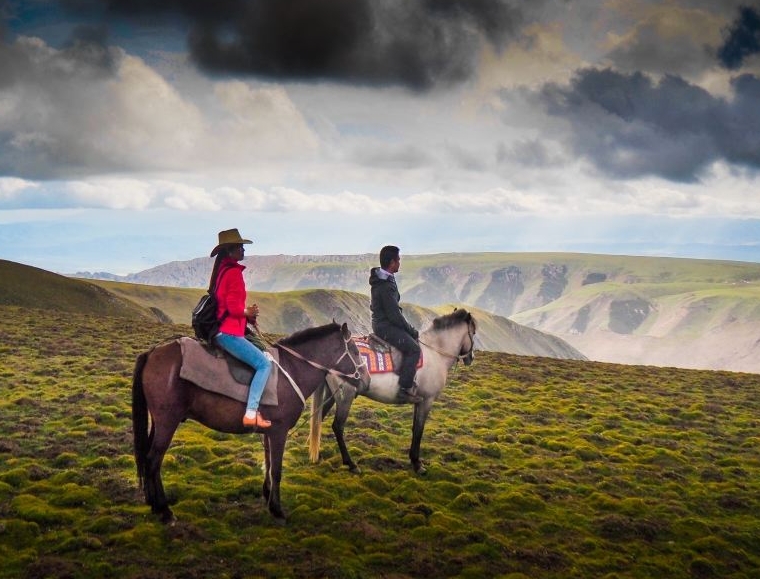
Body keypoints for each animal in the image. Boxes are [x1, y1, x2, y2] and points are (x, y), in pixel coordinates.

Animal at [132, 322, 370, 524]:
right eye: (356, 352)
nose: (366, 381)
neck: (293, 369)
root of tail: (152, 353)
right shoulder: (279, 431)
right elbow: (277, 469)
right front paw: (277, 509)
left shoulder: (269, 430)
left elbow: (268, 464)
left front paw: (267, 496)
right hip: (167, 422)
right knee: (153, 460)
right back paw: (164, 510)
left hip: (158, 422)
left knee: (149, 458)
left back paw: (154, 504)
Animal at [308, 310, 476, 474]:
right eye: (473, 333)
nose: (471, 358)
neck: (435, 352)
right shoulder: (427, 400)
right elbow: (419, 430)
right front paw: (417, 464)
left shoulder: (419, 401)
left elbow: (415, 428)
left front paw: (413, 459)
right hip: (345, 396)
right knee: (337, 426)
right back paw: (351, 464)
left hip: (331, 394)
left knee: (319, 419)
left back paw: (318, 454)